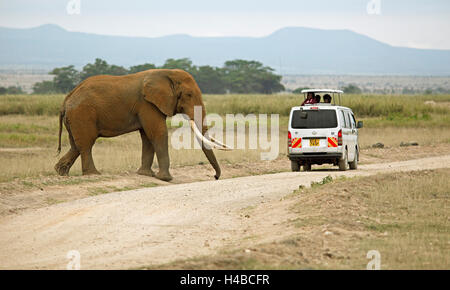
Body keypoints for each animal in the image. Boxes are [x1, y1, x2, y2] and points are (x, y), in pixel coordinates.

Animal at [54, 69, 227, 180]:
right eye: (189, 95)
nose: (215, 177)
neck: (166, 73)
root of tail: (65, 100)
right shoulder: (147, 104)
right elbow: (158, 132)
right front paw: (165, 178)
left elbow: (147, 136)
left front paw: (146, 175)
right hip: (82, 115)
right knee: (86, 144)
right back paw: (93, 175)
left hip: (74, 118)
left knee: (75, 145)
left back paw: (61, 173)